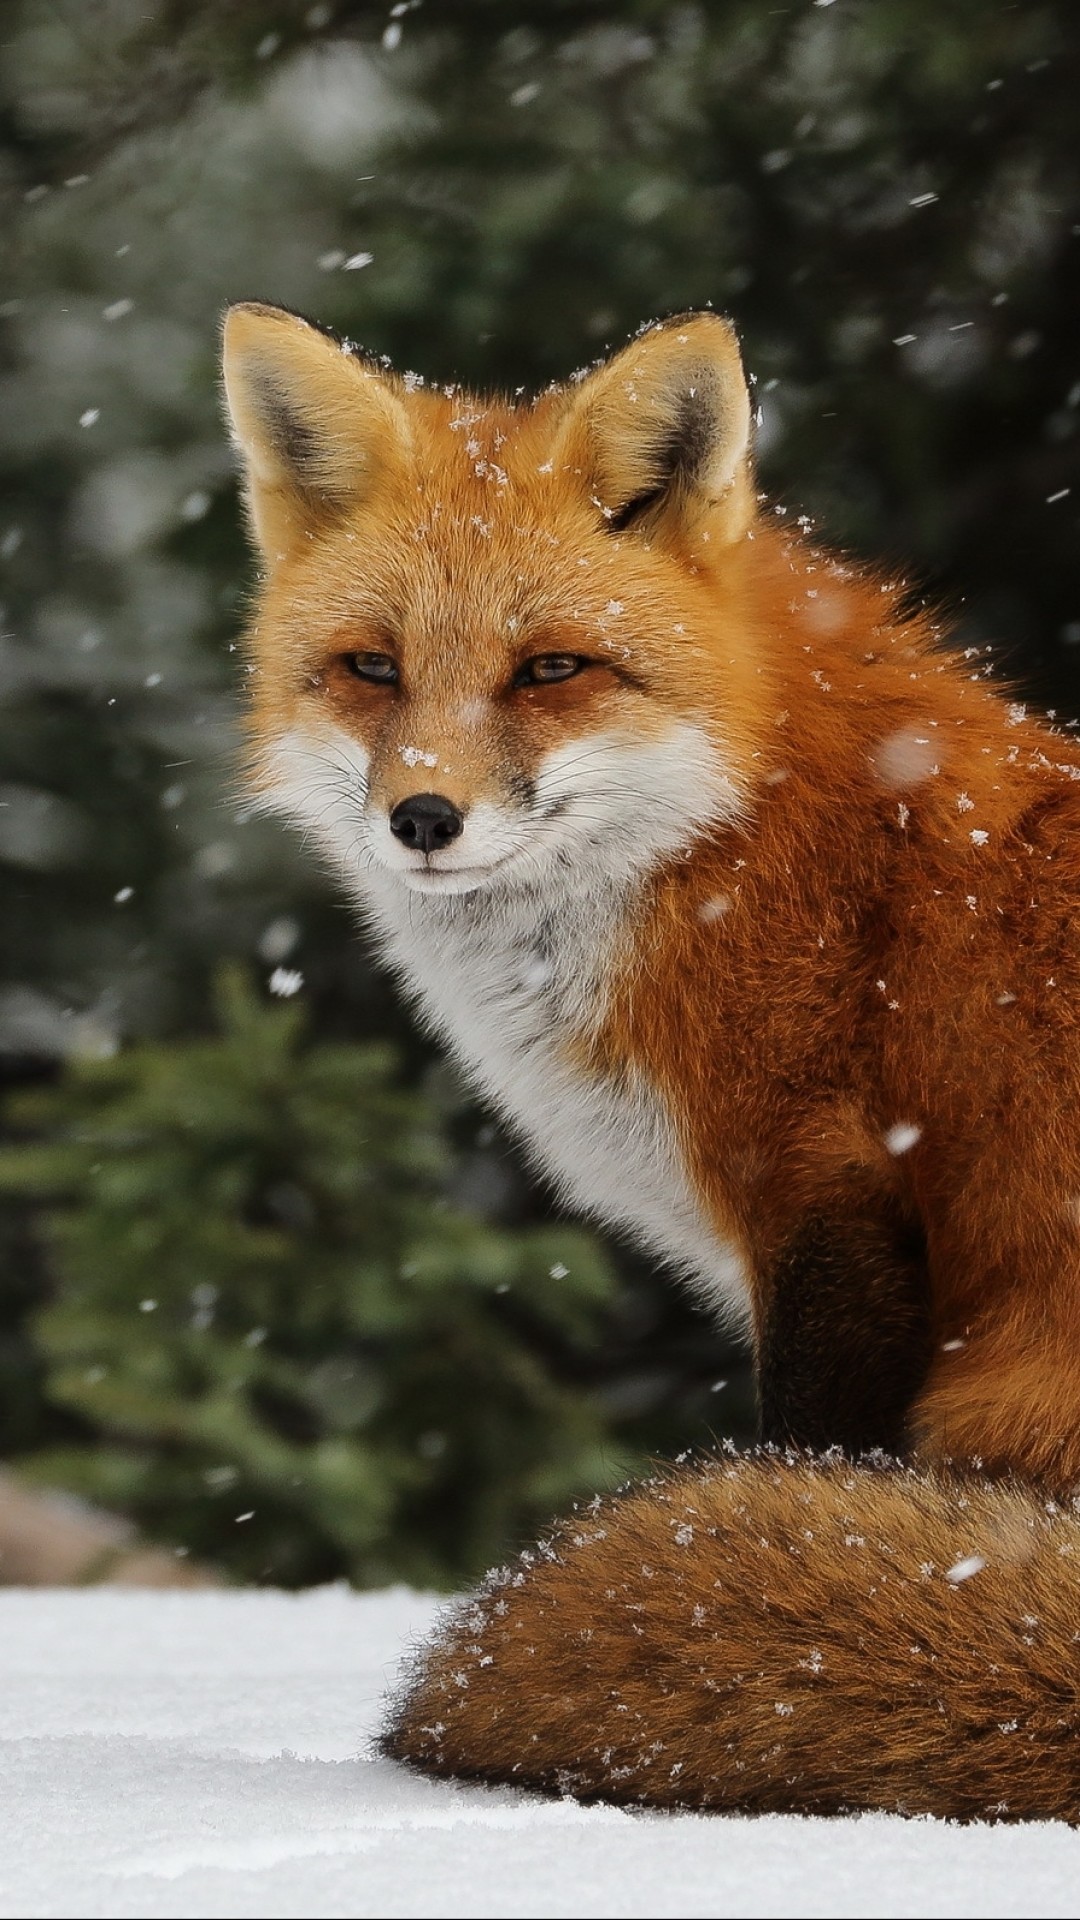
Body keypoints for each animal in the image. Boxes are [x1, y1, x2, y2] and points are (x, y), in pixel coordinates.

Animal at [223, 301, 1080, 1820]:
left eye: (551, 668)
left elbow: (809, 1467)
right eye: (373, 667)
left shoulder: (828, 1197)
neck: (732, 832)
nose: (423, 818)